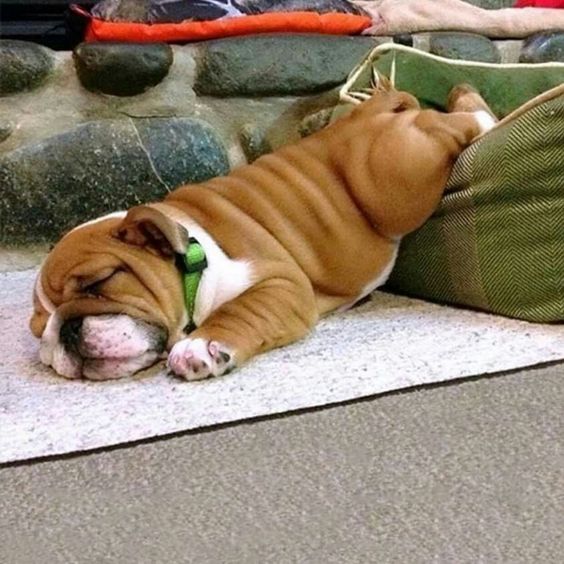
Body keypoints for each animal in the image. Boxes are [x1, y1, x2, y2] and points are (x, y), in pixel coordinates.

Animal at [30, 81, 496, 382]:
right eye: (40, 328)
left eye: (101, 282)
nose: (64, 330)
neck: (191, 254)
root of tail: (375, 106)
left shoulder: (279, 282)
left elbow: (240, 310)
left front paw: (202, 345)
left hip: (396, 178)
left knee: (458, 125)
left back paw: (479, 115)